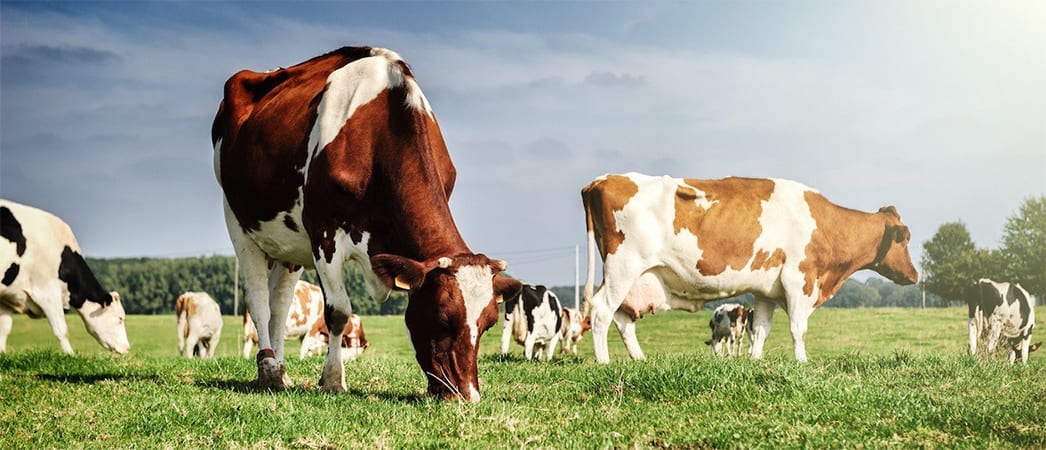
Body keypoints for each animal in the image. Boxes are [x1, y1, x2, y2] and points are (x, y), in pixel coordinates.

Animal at [0, 200, 130, 354]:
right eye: (120, 318)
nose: (128, 347)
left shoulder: (6, 297)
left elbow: (4, 329)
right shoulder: (47, 292)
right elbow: (61, 330)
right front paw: (70, 355)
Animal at [213, 46, 521, 401]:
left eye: (489, 322)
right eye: (442, 316)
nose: (467, 396)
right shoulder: (325, 233)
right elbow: (338, 311)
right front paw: (334, 379)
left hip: (289, 242)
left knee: (280, 304)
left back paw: (281, 371)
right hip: (237, 220)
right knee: (258, 299)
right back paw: (268, 370)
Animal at [582, 173, 918, 363]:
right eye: (905, 238)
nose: (915, 274)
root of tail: (603, 179)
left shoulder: (767, 290)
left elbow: (761, 331)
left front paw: (755, 362)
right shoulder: (799, 280)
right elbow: (798, 328)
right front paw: (802, 363)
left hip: (635, 278)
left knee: (623, 319)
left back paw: (640, 360)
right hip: (622, 267)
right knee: (601, 312)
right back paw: (604, 363)